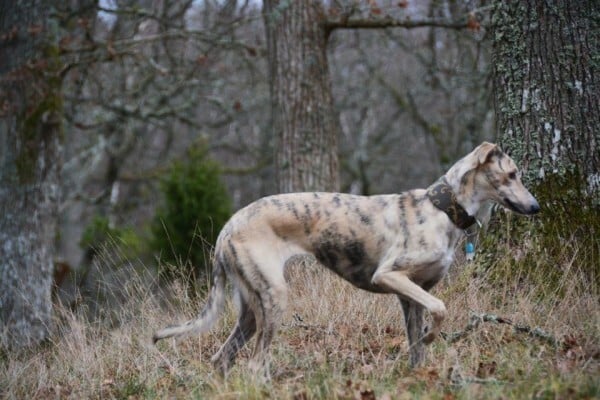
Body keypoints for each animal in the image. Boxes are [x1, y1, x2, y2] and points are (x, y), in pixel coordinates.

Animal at [154, 143, 540, 376]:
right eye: (511, 174)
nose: (536, 207)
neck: (440, 208)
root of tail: (226, 228)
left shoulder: (412, 295)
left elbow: (417, 347)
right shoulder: (390, 276)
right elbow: (441, 310)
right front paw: (433, 336)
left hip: (251, 309)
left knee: (223, 358)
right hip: (274, 299)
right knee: (254, 365)